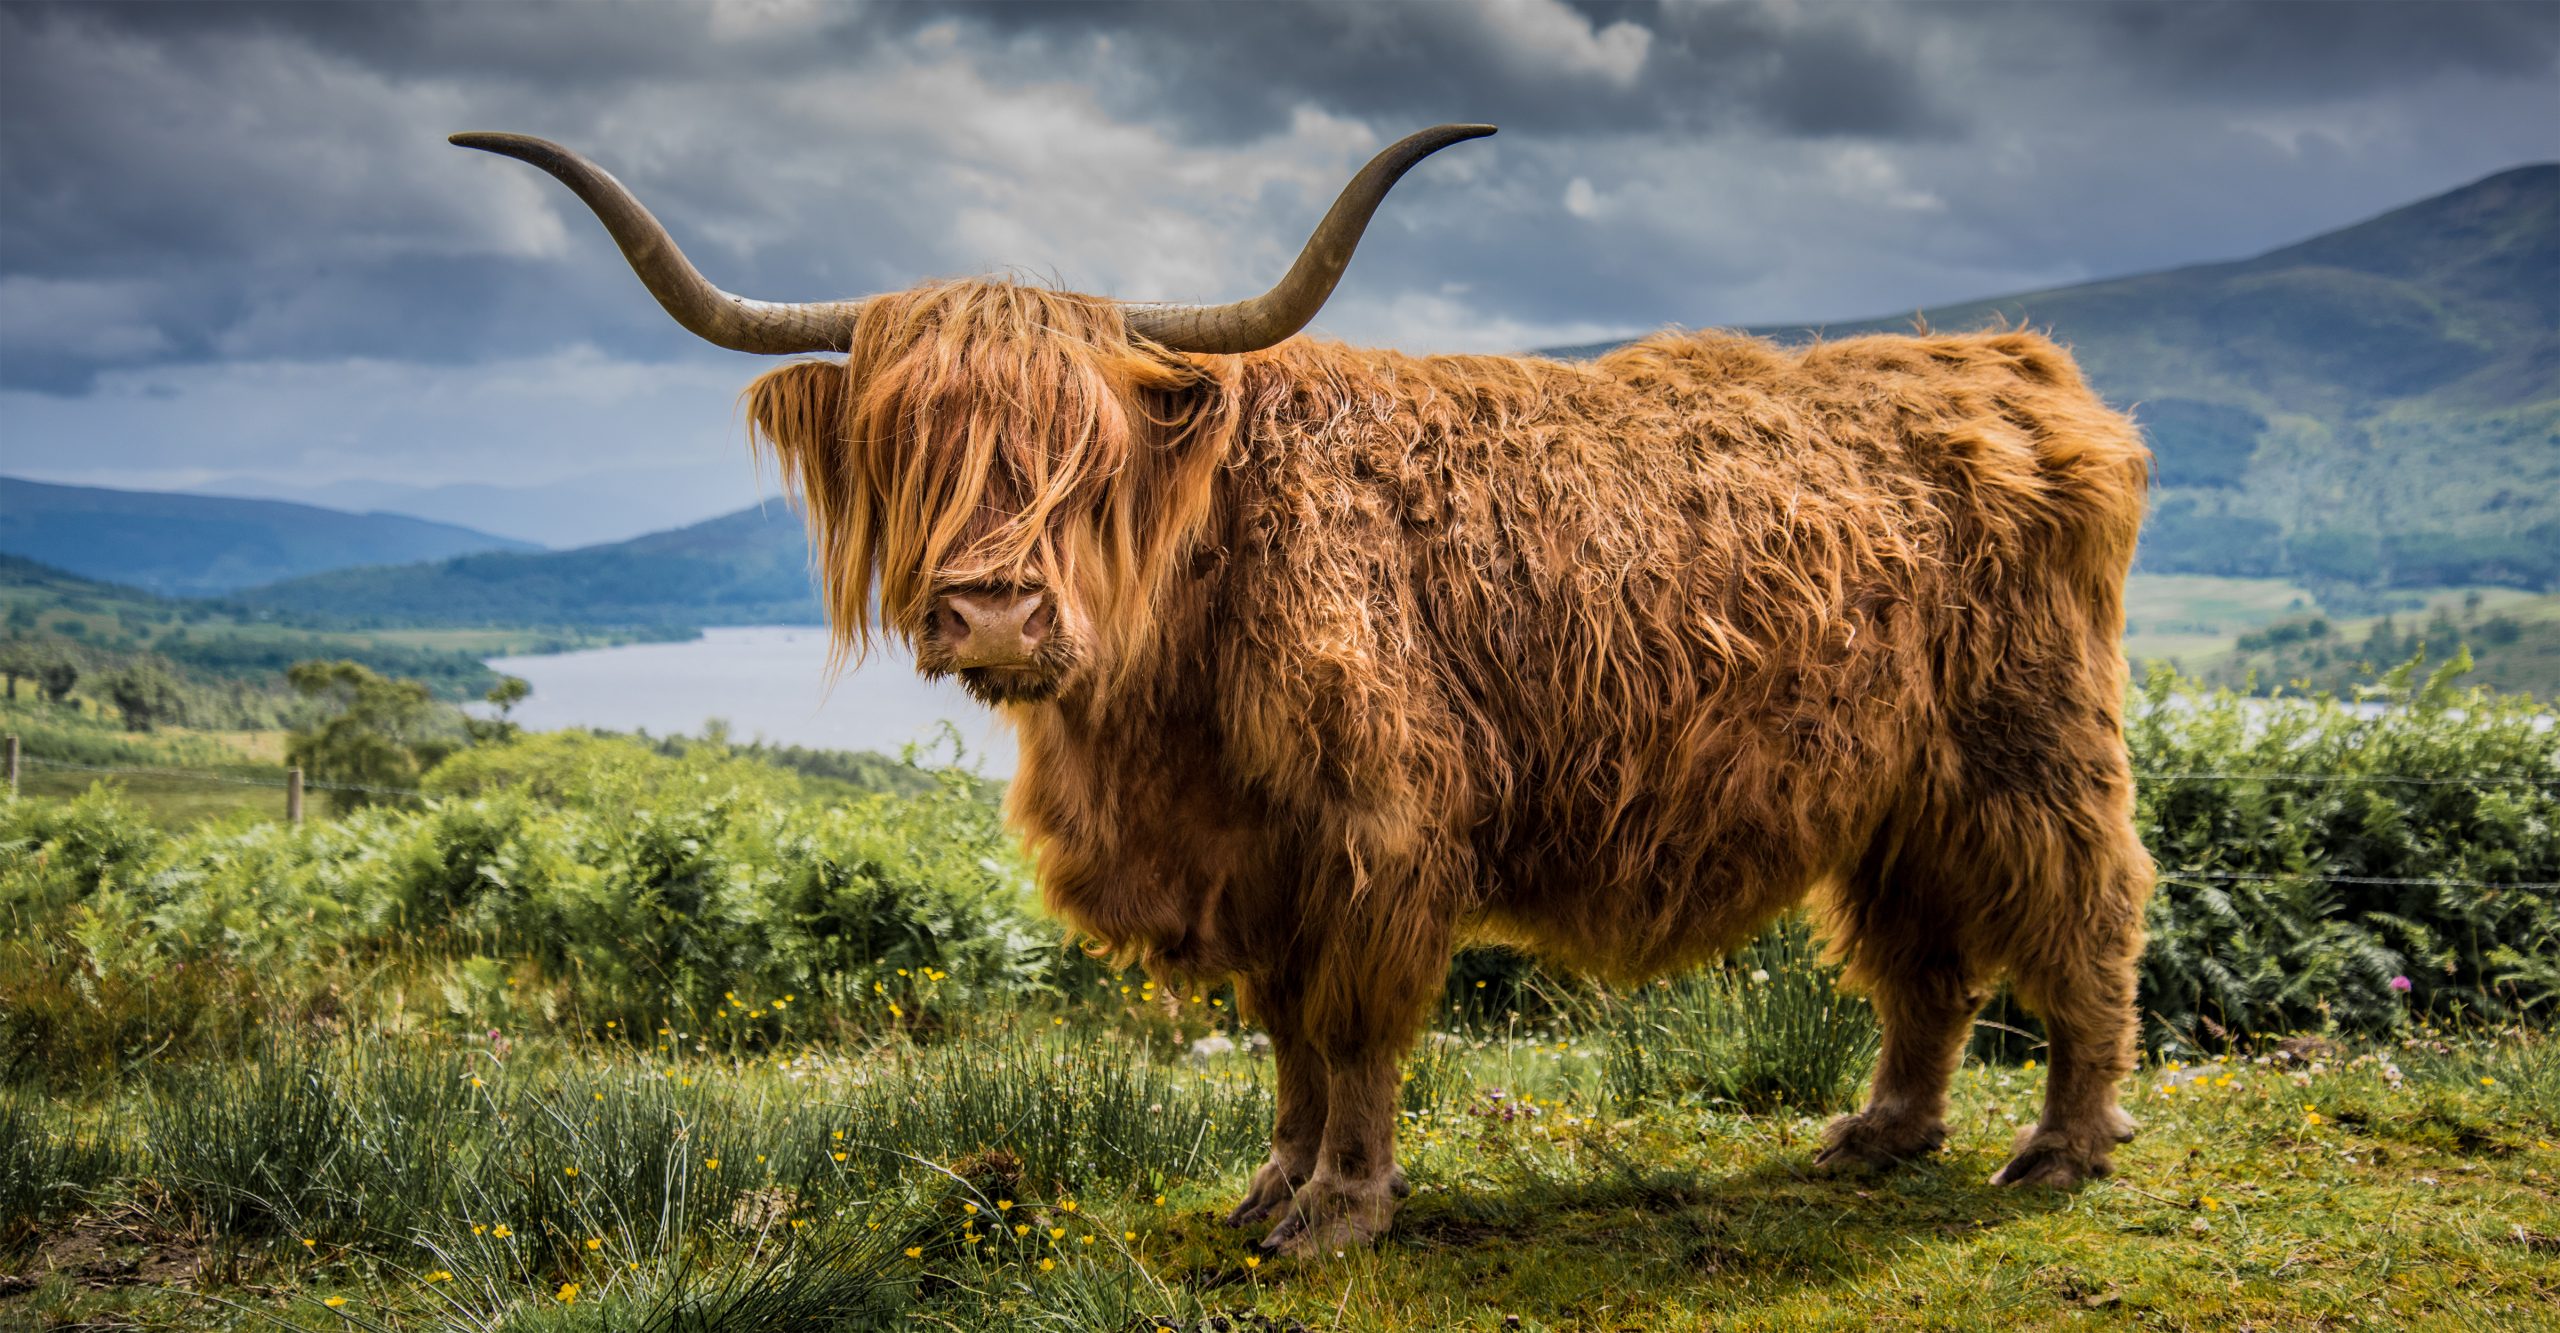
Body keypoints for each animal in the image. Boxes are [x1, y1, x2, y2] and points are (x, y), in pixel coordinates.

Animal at [453, 125, 2155, 1255]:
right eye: (907, 446)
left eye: (1085, 456)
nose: (994, 609)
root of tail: (2010, 367)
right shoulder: (1246, 857)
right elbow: (1280, 1032)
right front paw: (1270, 1185)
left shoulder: (1378, 832)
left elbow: (1356, 1026)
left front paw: (1341, 1207)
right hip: (1895, 783)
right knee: (1924, 960)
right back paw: (1881, 1134)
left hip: (2033, 742)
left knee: (2085, 910)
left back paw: (2061, 1148)